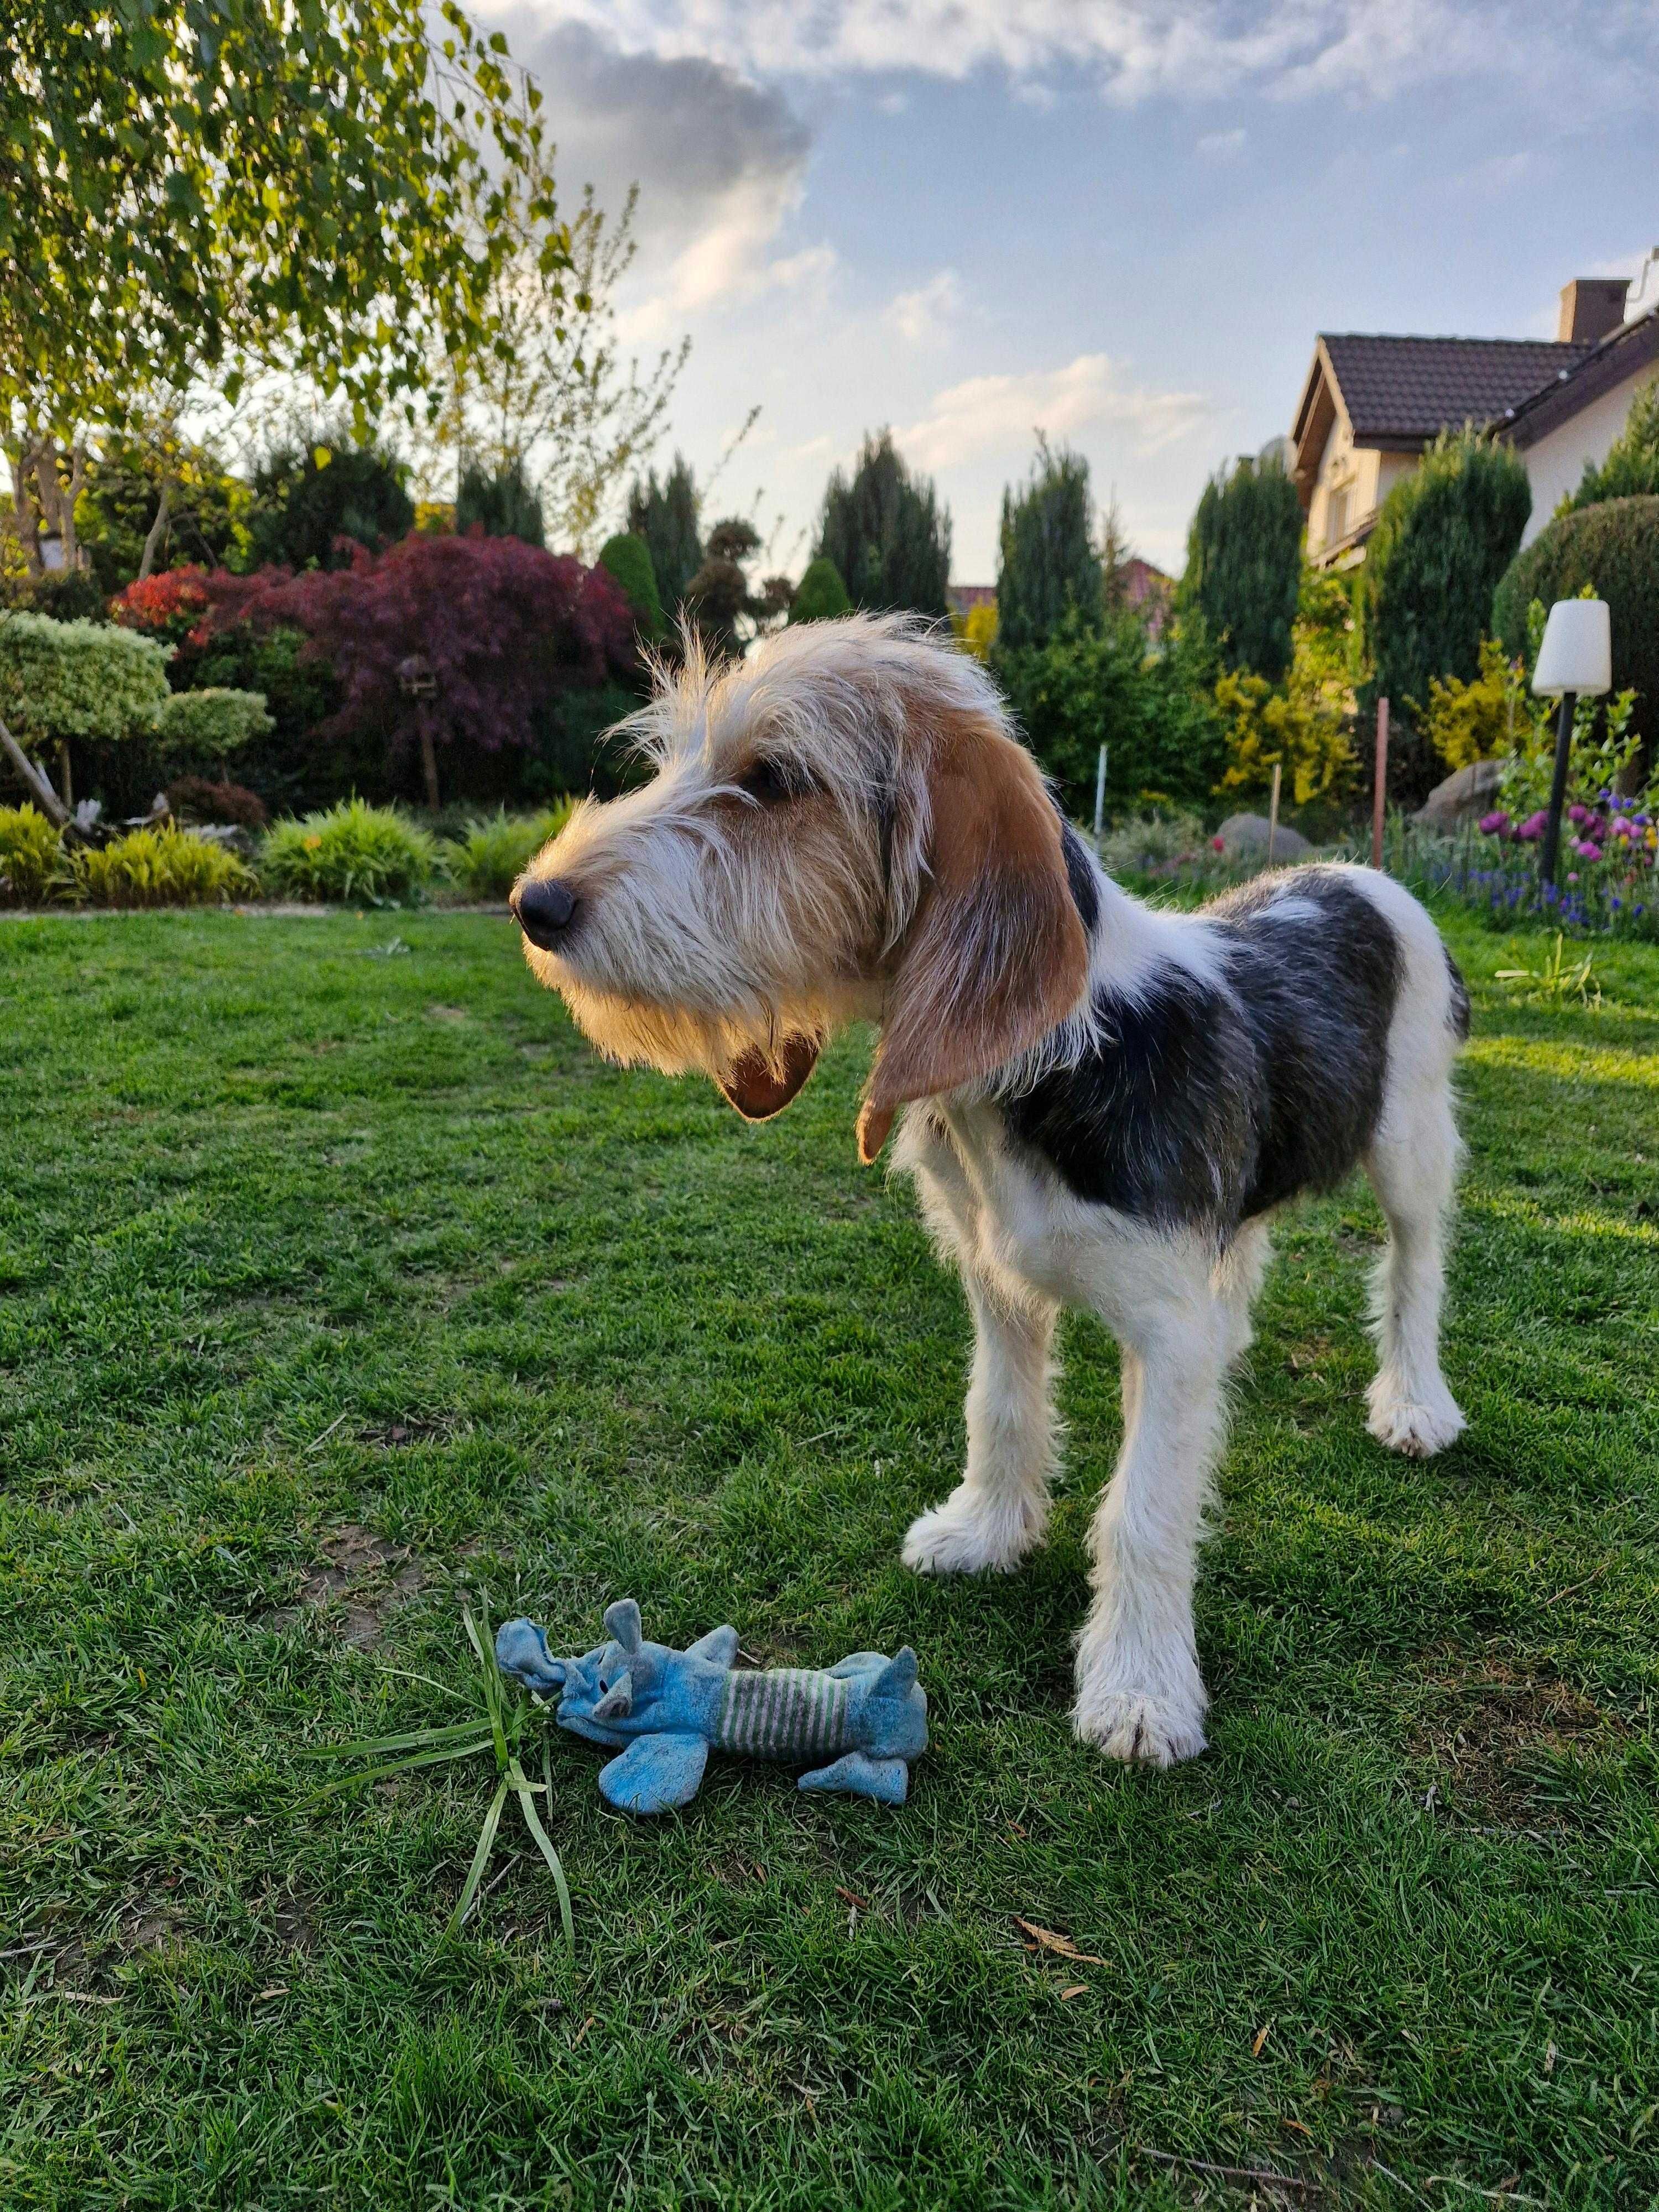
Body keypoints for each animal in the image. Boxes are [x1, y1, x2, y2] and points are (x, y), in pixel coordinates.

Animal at [513, 615, 1478, 1770]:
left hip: (1411, 1143)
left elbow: (1146, 1507)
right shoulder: (995, 1276)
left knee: (1416, 1270)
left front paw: (1140, 1688)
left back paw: (1414, 1402)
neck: (1048, 1063)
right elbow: (1002, 1407)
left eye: (774, 777)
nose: (533, 904)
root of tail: (1358, 873)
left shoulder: (1167, 1328)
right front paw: (987, 1531)